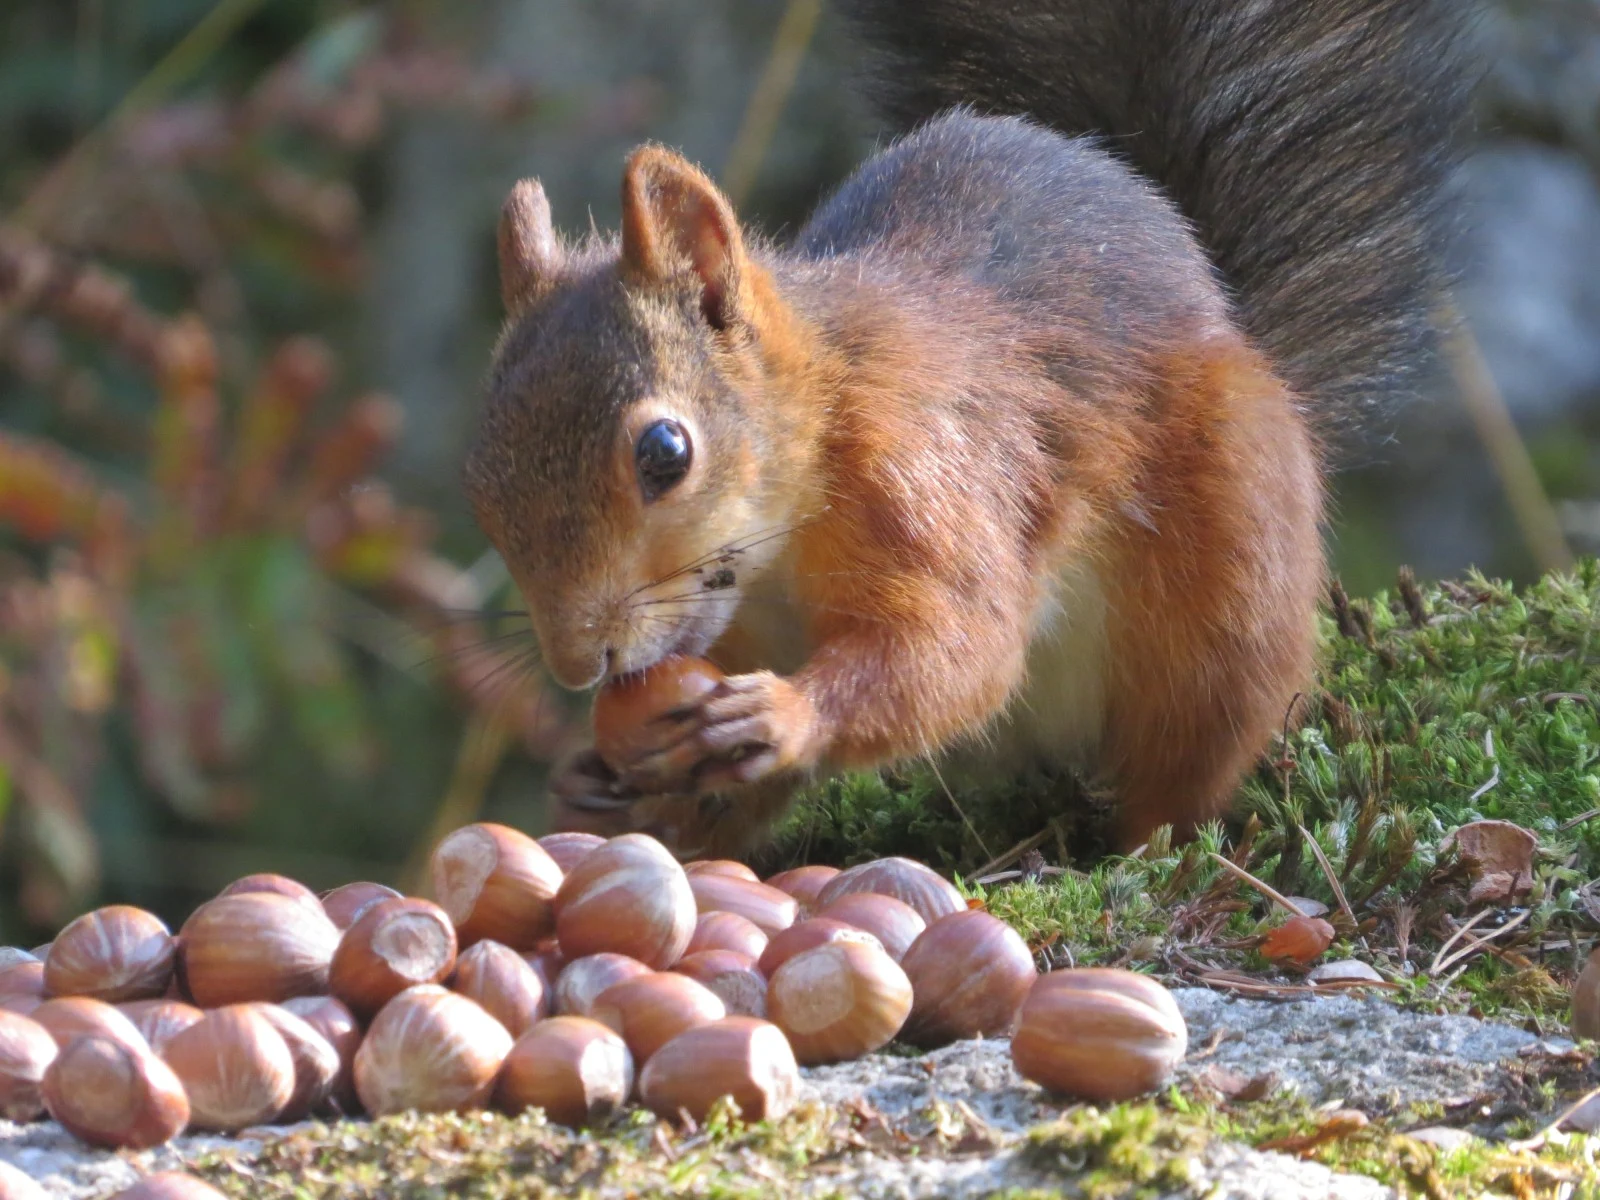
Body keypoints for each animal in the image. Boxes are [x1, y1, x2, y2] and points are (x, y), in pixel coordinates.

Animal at [464, 0, 1474, 858]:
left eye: (665, 453)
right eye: (481, 484)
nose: (579, 666)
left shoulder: (928, 481)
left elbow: (962, 646)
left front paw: (785, 715)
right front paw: (604, 784)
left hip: (1229, 584)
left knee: (1190, 758)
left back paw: (1143, 848)